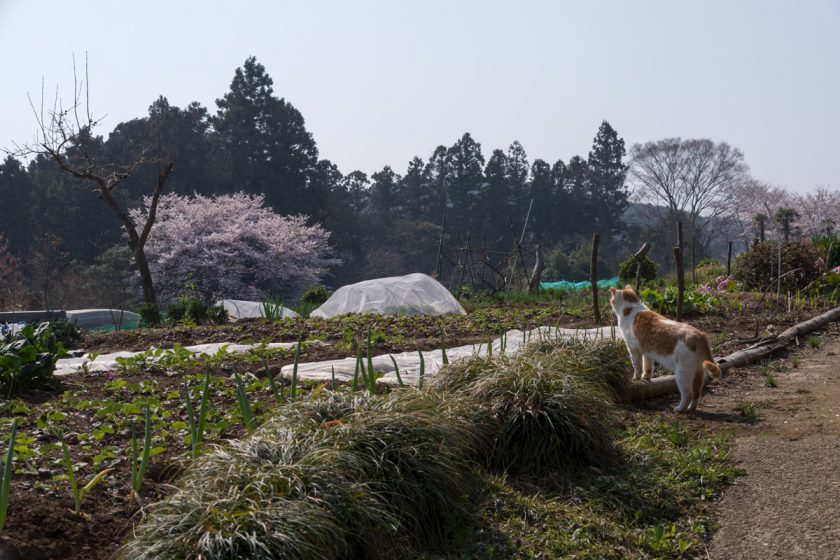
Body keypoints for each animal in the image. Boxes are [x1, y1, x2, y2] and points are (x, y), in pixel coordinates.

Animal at [612, 286, 720, 414]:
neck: (631, 307)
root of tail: (699, 335)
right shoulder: (648, 352)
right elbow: (647, 368)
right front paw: (645, 378)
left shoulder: (633, 349)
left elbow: (637, 366)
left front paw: (635, 379)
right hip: (698, 372)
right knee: (696, 394)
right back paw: (691, 409)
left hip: (682, 374)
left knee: (688, 394)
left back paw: (680, 408)